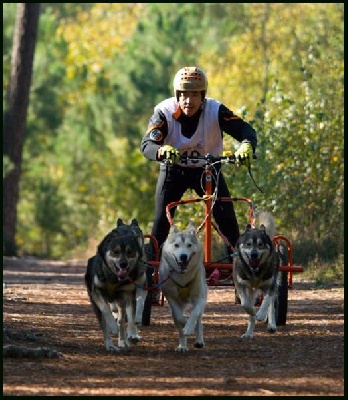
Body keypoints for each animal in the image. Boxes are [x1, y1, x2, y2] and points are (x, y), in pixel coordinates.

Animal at [87, 217, 148, 352]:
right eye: (116, 251)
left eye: (136, 235)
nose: (123, 264)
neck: (115, 278)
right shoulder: (97, 292)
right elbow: (106, 311)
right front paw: (113, 326)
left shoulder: (137, 288)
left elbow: (137, 308)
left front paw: (134, 328)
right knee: (107, 321)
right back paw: (111, 343)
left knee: (123, 320)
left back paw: (126, 339)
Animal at [159, 223, 208, 352]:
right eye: (176, 245)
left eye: (189, 245)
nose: (183, 256)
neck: (183, 276)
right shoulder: (171, 297)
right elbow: (179, 317)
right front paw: (185, 324)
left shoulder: (199, 298)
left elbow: (194, 314)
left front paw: (190, 326)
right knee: (179, 323)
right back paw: (182, 346)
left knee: (199, 320)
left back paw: (199, 340)